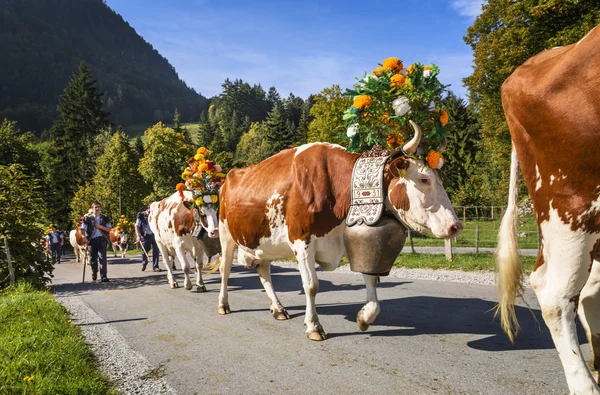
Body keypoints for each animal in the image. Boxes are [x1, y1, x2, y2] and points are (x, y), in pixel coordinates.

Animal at [150, 148, 225, 290]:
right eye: (201, 212)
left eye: (217, 210)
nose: (215, 232)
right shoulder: (178, 244)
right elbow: (185, 266)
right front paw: (188, 284)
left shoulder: (199, 245)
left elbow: (199, 265)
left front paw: (200, 284)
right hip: (160, 242)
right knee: (167, 262)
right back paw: (173, 281)